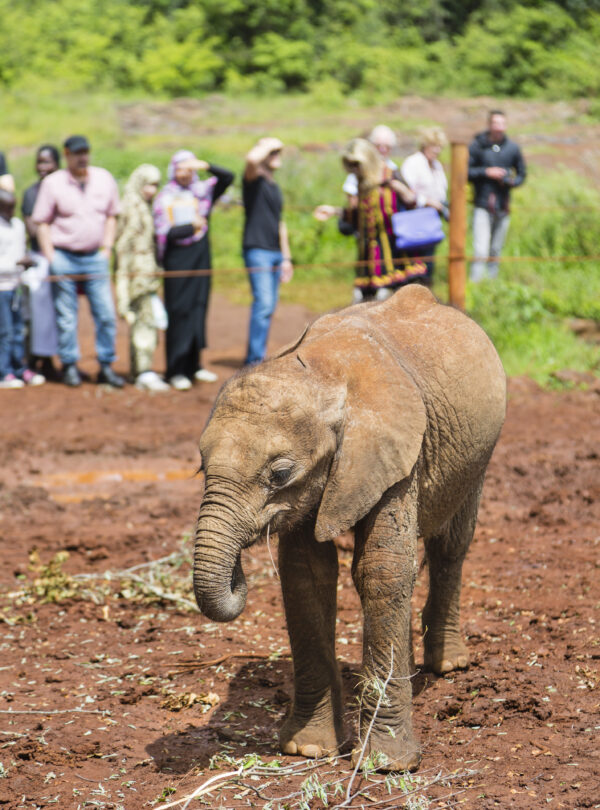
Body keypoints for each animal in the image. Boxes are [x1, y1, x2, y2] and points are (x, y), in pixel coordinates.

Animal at [192, 284, 506, 771]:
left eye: (279, 474)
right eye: (201, 466)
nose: (238, 571)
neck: (318, 374)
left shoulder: (395, 451)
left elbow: (382, 570)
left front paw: (389, 764)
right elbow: (306, 576)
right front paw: (308, 749)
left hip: (479, 455)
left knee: (451, 545)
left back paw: (449, 666)